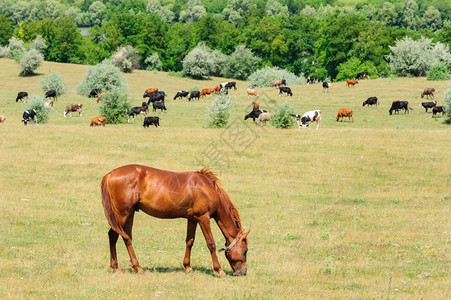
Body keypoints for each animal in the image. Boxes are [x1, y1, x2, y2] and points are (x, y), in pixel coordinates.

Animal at [101, 165, 251, 278]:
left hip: (130, 213)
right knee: (114, 236)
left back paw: (127, 267)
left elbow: (190, 241)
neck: (207, 188)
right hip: (123, 214)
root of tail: (109, 175)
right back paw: (125, 268)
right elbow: (211, 244)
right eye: (245, 251)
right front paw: (219, 271)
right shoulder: (203, 217)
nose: (243, 272)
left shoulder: (192, 219)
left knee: (124, 237)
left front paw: (187, 267)